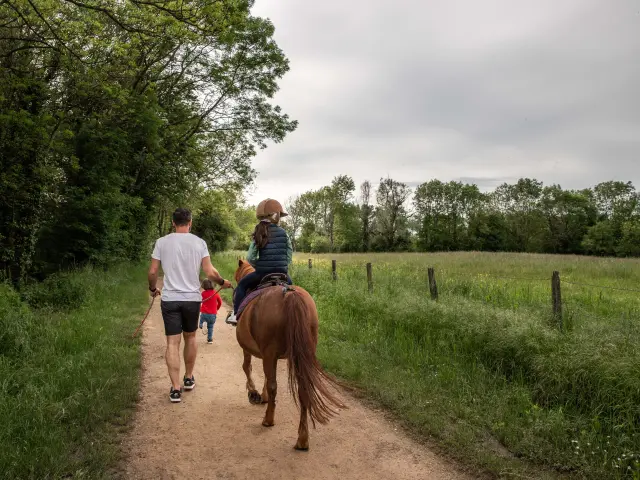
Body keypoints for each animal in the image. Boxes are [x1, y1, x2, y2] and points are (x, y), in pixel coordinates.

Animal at [233, 259, 344, 450]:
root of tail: (290, 295)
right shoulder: (269, 355)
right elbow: (264, 375)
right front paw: (262, 396)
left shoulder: (253, 350)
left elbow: (247, 367)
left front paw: (254, 394)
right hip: (301, 355)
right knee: (303, 390)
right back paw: (302, 439)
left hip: (272, 353)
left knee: (274, 385)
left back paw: (268, 420)